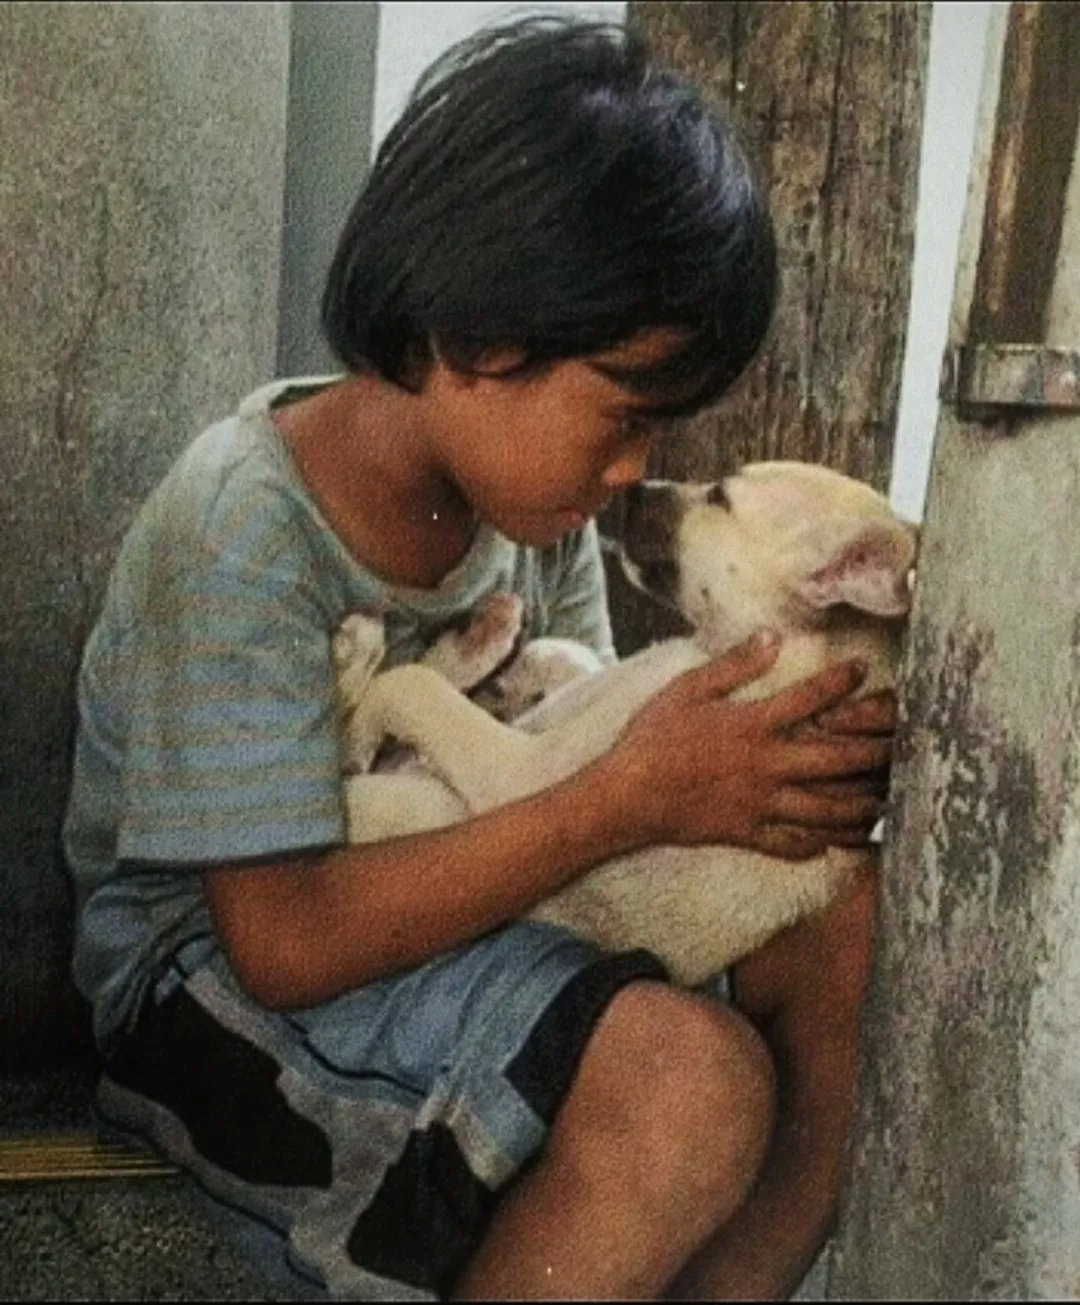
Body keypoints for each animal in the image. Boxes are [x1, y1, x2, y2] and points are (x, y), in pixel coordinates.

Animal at [336, 464, 913, 981]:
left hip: (403, 809)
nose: (632, 487)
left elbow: (410, 687)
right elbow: (569, 657)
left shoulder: (521, 775)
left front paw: (368, 723)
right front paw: (521, 674)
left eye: (720, 498)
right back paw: (473, 639)